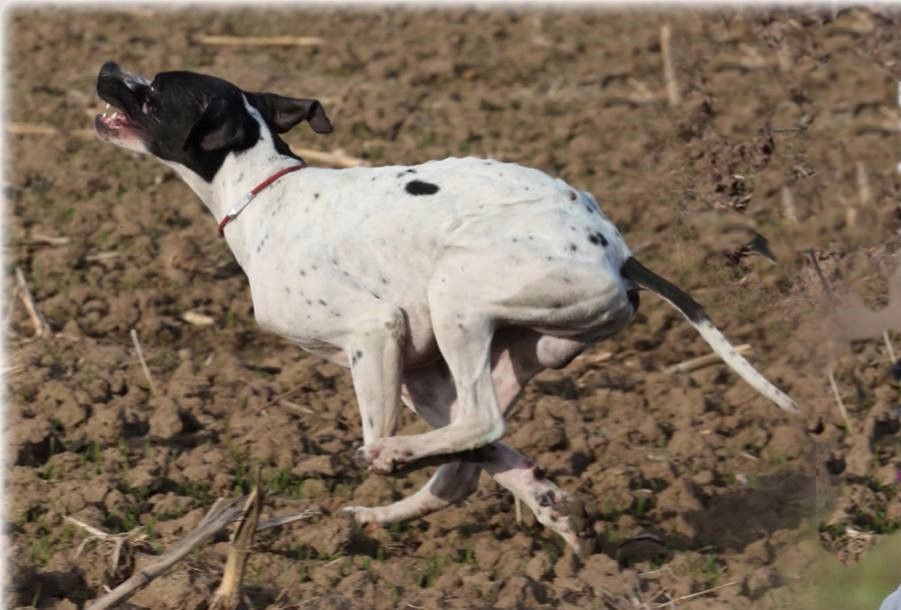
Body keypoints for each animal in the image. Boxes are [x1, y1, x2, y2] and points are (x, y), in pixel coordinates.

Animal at [95, 63, 800, 556]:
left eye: (154, 91)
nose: (106, 67)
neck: (264, 191)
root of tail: (621, 254)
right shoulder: (414, 363)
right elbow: (483, 458)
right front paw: (548, 501)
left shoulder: (375, 332)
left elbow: (379, 430)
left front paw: (384, 457)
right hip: (490, 350)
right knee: (476, 448)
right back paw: (512, 506)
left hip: (455, 296)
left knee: (478, 426)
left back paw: (400, 465)